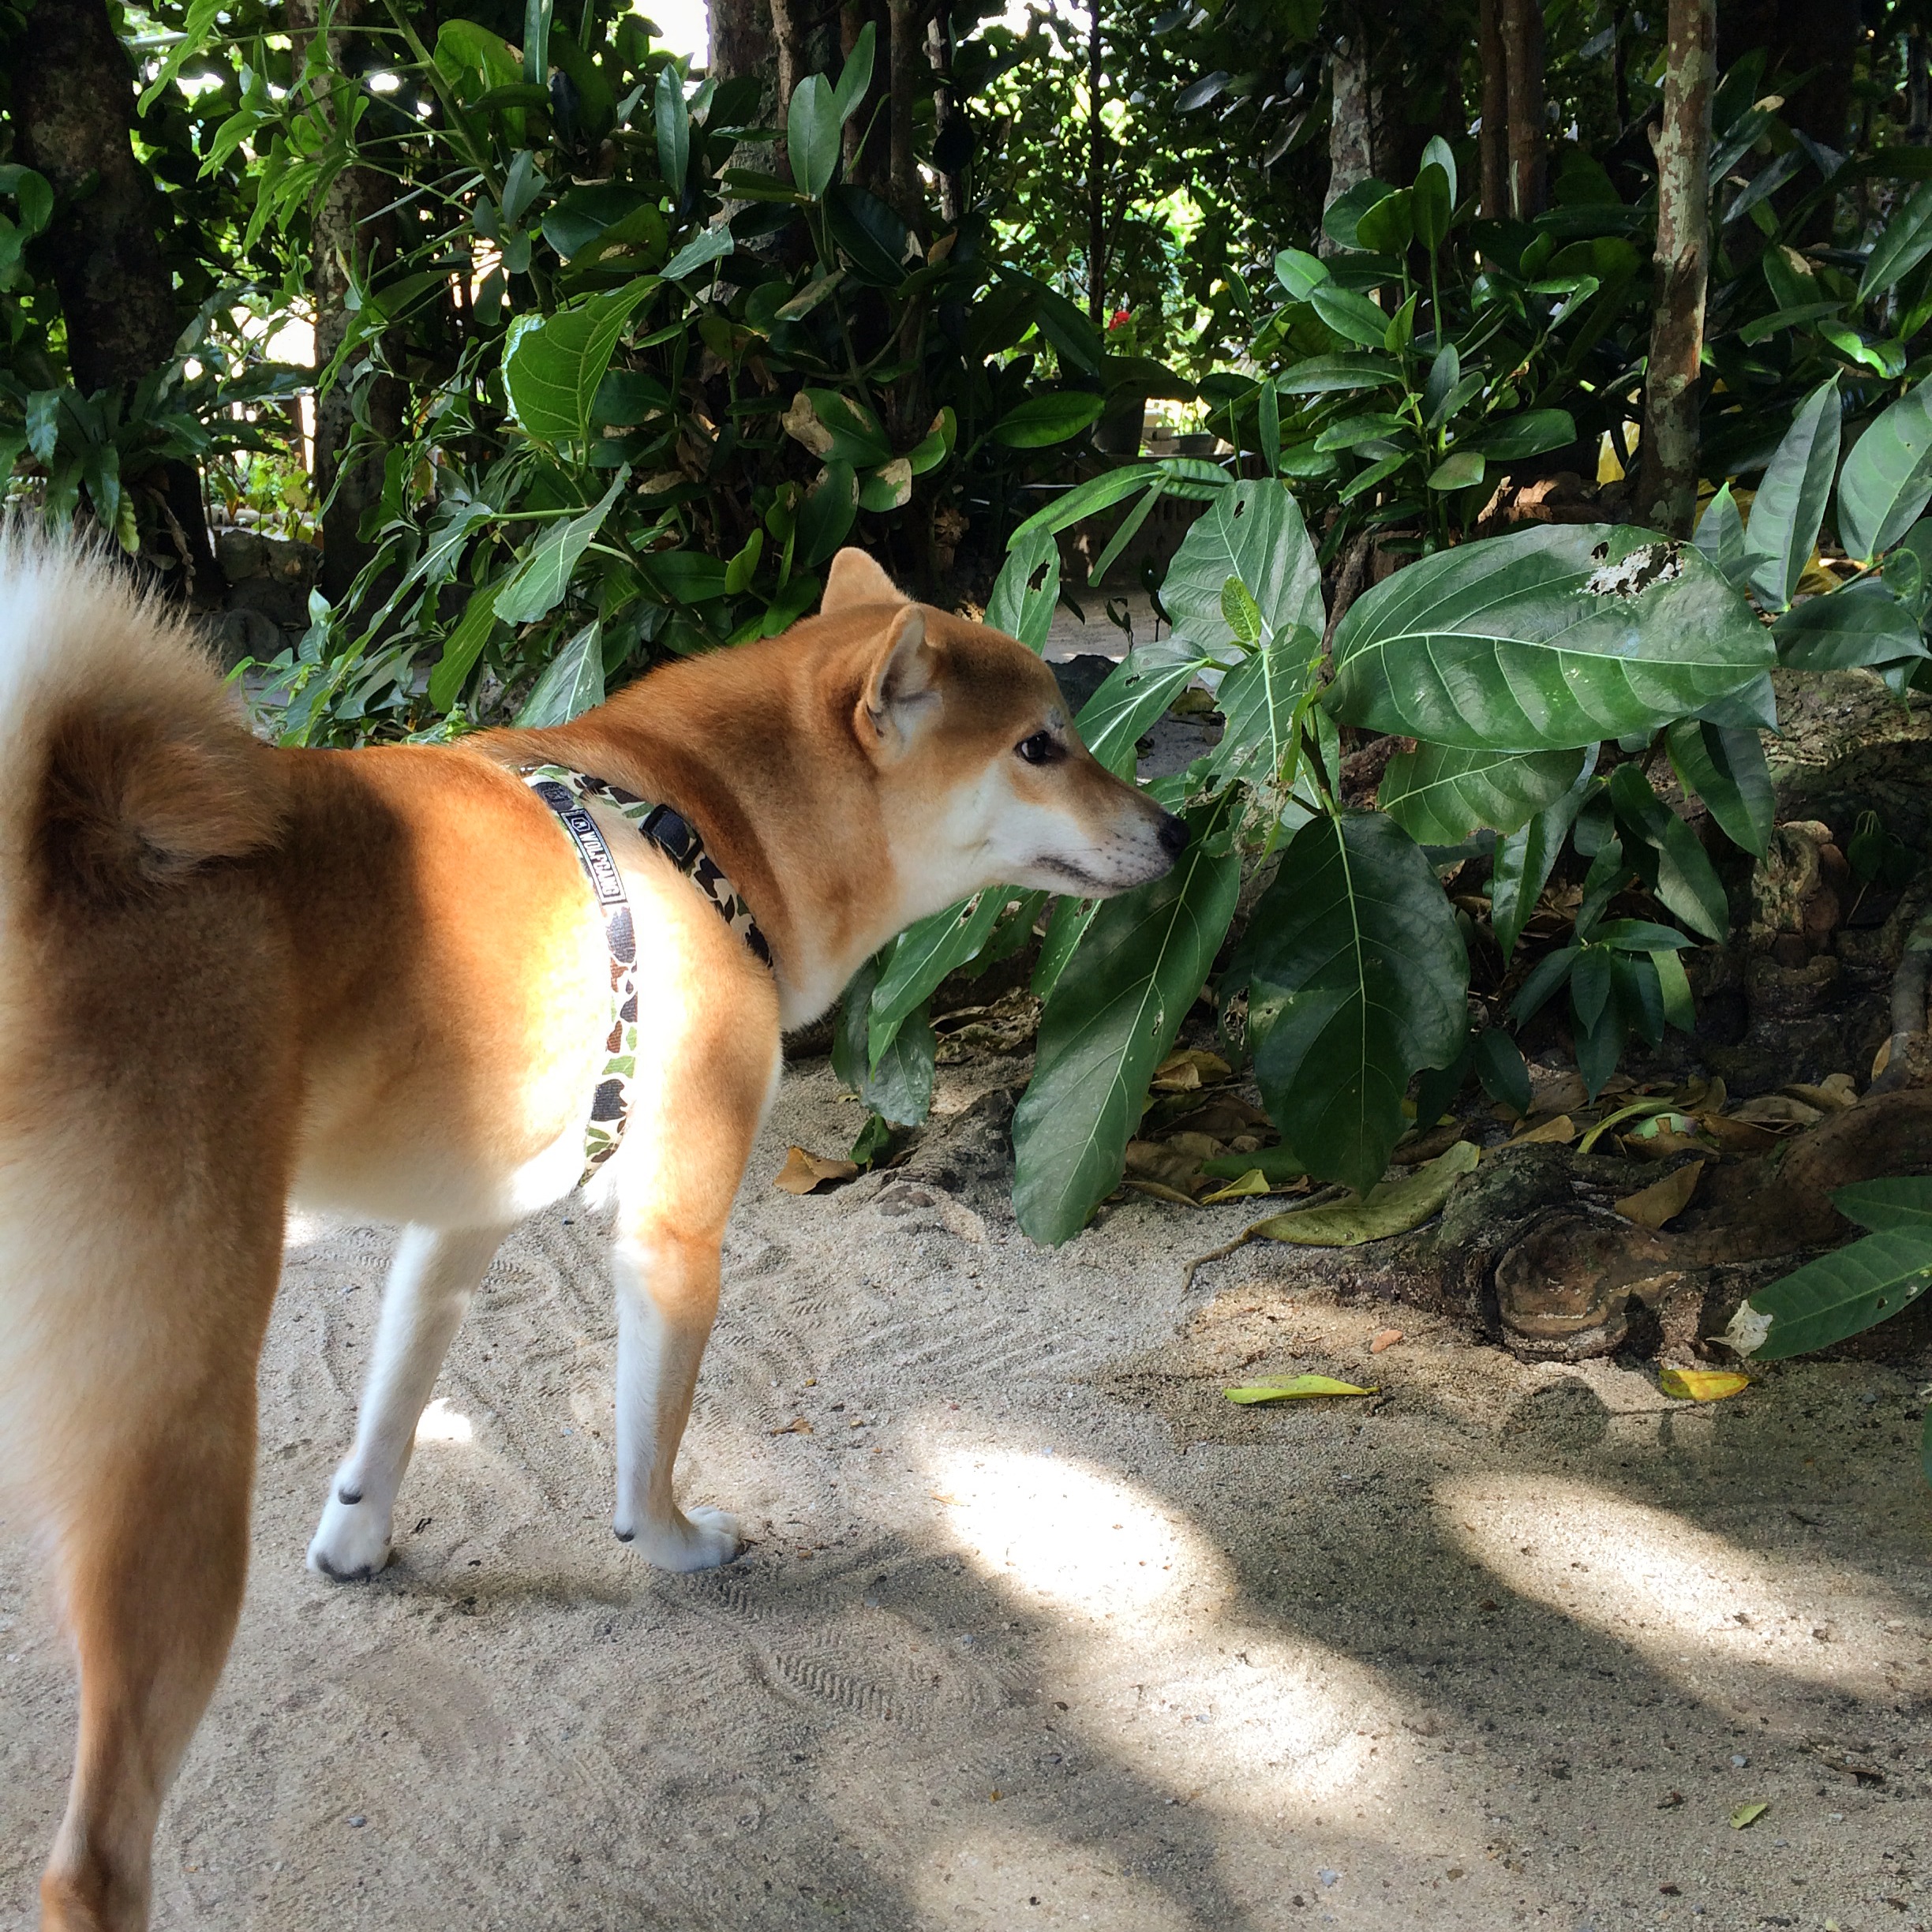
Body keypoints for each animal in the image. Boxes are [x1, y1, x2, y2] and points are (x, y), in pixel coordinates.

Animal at [0, 533, 1182, 1932]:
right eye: (1044, 746)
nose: (1181, 827)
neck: (707, 826)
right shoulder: (674, 1233)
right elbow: (645, 1439)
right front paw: (671, 1545)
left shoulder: (458, 1226)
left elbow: (392, 1411)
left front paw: (356, 1540)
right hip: (173, 1429)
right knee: (89, 1860)